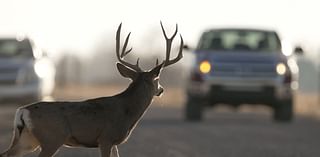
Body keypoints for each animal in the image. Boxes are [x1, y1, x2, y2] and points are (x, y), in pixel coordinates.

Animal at [0, 22, 184, 157]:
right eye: (157, 79)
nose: (162, 90)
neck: (126, 111)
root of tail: (22, 111)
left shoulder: (113, 142)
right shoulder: (106, 138)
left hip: (27, 139)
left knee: (8, 153)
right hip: (51, 138)